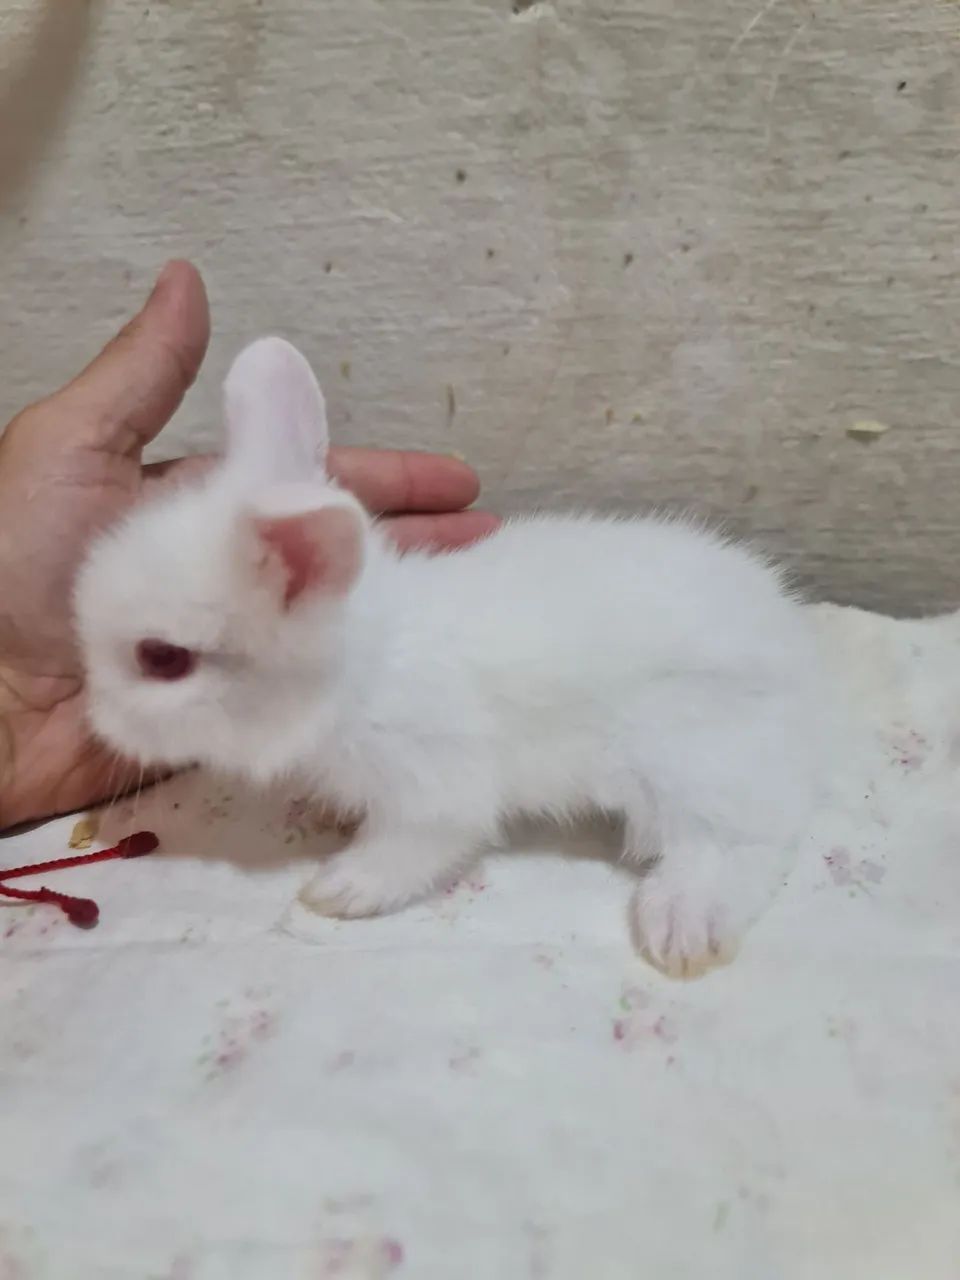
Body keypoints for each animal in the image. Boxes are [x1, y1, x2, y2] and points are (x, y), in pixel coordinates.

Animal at [74, 336, 829, 977]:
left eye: (163, 659)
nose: (101, 727)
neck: (358, 668)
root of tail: (787, 640)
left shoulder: (431, 783)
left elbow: (416, 846)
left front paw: (337, 890)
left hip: (691, 761)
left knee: (743, 841)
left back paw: (681, 929)